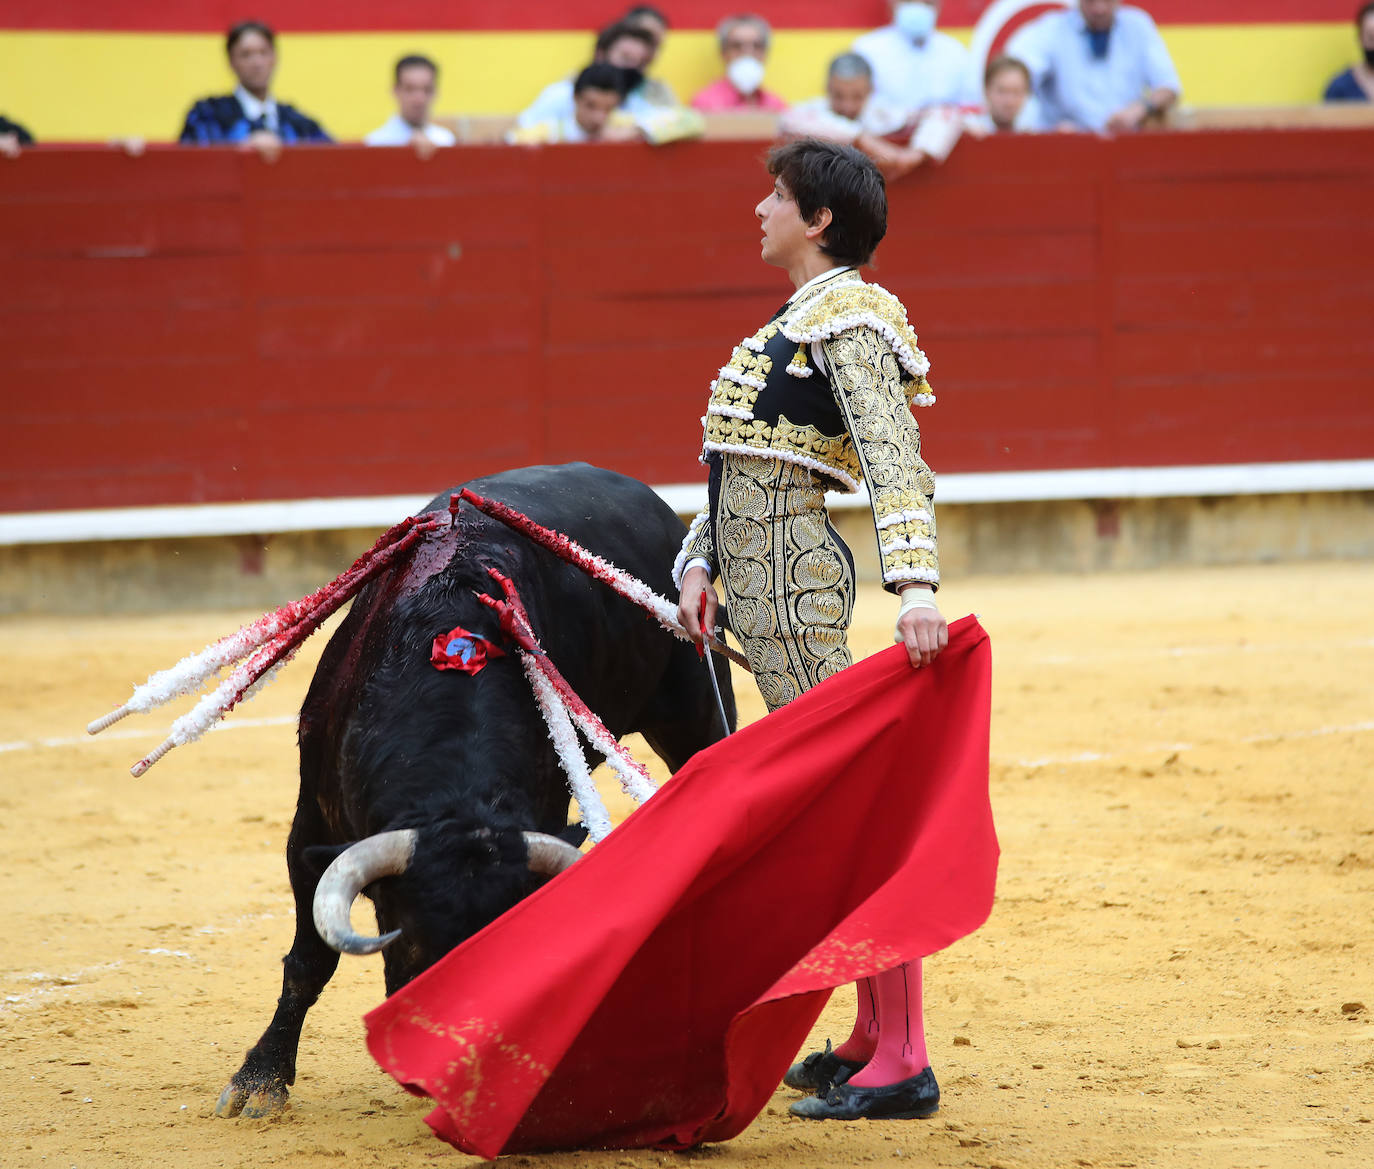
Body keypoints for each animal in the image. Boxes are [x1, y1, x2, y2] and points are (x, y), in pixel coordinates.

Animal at [214, 461, 736, 1120]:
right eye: (414, 944)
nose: (454, 1066)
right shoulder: (312, 825)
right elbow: (311, 957)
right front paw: (260, 1081)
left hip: (698, 702)